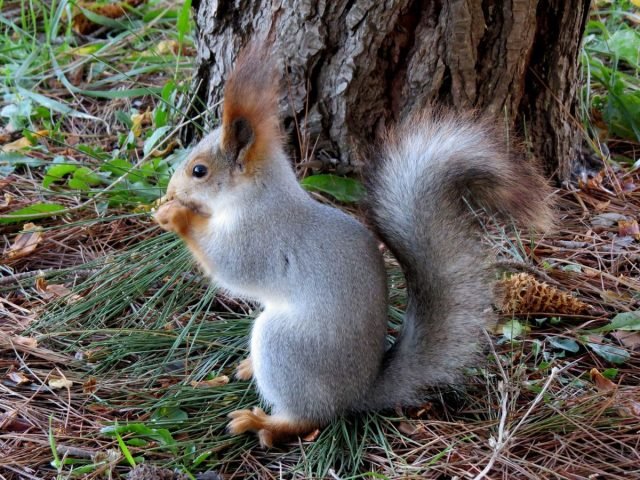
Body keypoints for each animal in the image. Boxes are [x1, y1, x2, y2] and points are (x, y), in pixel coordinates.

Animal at [155, 41, 556, 446]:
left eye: (199, 171)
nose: (170, 191)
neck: (258, 196)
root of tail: (358, 392)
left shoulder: (262, 238)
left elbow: (231, 266)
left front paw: (175, 216)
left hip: (285, 346)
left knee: (310, 417)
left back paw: (263, 422)